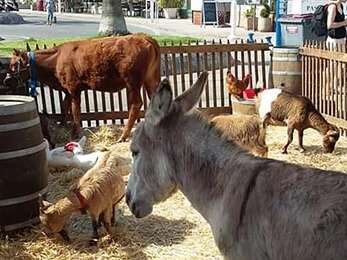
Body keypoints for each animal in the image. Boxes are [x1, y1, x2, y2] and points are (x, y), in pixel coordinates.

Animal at [7, 34, 160, 142]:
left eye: (13, 65)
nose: (6, 80)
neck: (56, 59)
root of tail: (144, 37)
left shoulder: (74, 89)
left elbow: (75, 111)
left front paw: (75, 133)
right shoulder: (67, 90)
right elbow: (64, 106)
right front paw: (63, 125)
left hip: (132, 83)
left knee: (136, 104)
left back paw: (123, 136)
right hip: (150, 80)